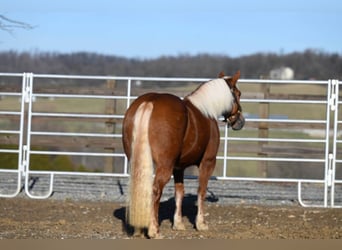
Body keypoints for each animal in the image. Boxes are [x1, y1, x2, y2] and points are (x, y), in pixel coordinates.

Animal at [121, 71, 244, 238]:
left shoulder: (178, 168)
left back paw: (139, 230)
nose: (240, 121)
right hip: (164, 166)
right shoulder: (207, 162)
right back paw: (154, 231)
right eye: (238, 93)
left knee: (139, 188)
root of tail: (150, 101)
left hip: (137, 162)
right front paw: (201, 224)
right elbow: (201, 190)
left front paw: (178, 224)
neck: (206, 110)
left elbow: (179, 193)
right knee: (155, 190)